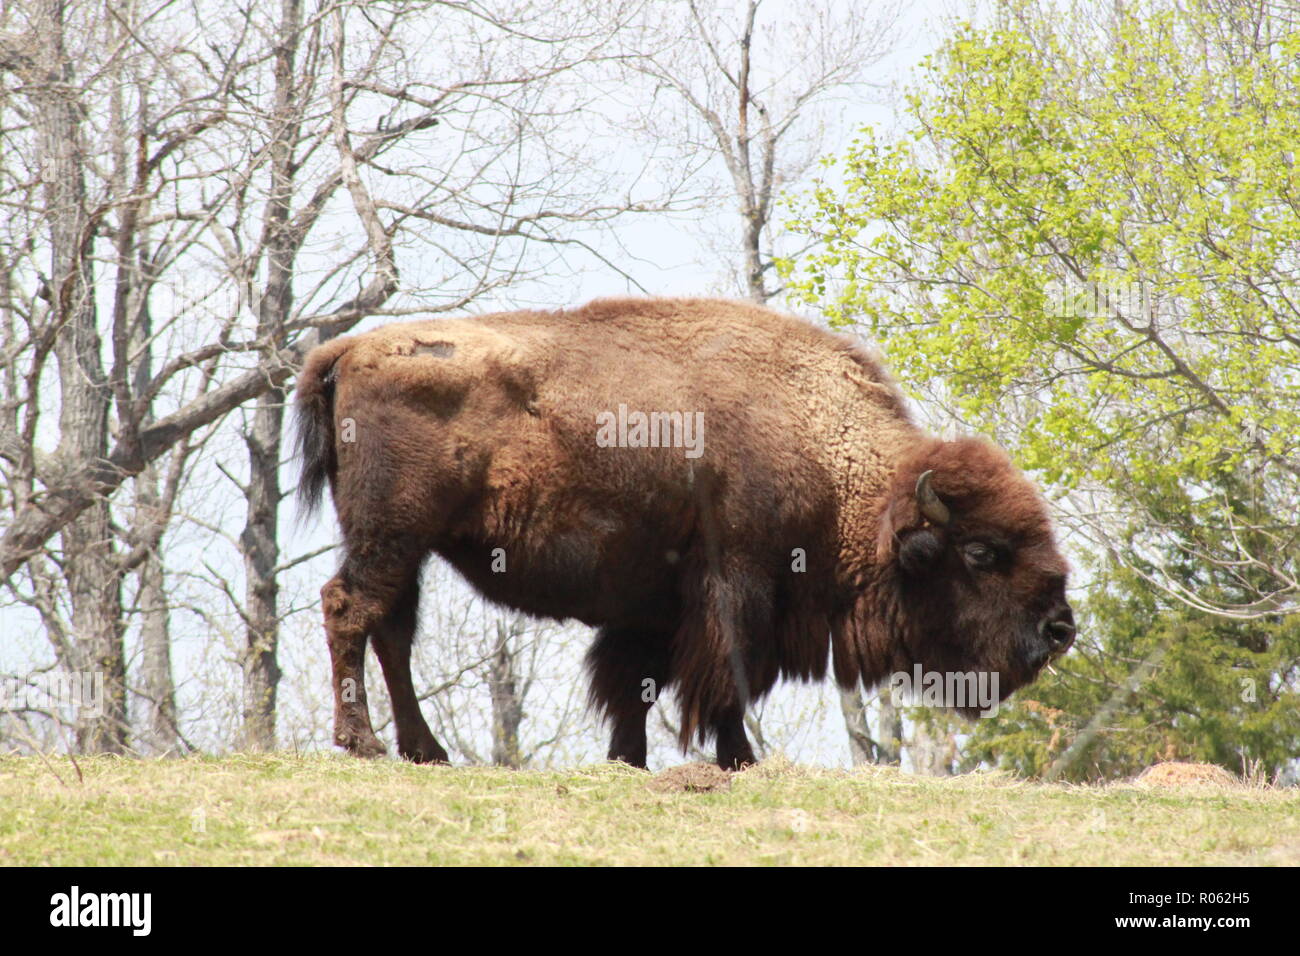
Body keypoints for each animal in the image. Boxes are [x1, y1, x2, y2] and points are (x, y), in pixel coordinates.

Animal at [297, 299, 1076, 770]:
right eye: (982, 552)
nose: (1060, 629)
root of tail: (351, 348)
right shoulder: (738, 587)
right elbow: (726, 679)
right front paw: (740, 759)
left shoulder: (654, 608)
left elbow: (633, 684)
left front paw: (629, 759)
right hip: (392, 534)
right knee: (350, 610)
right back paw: (363, 742)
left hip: (406, 545)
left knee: (392, 630)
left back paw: (424, 749)